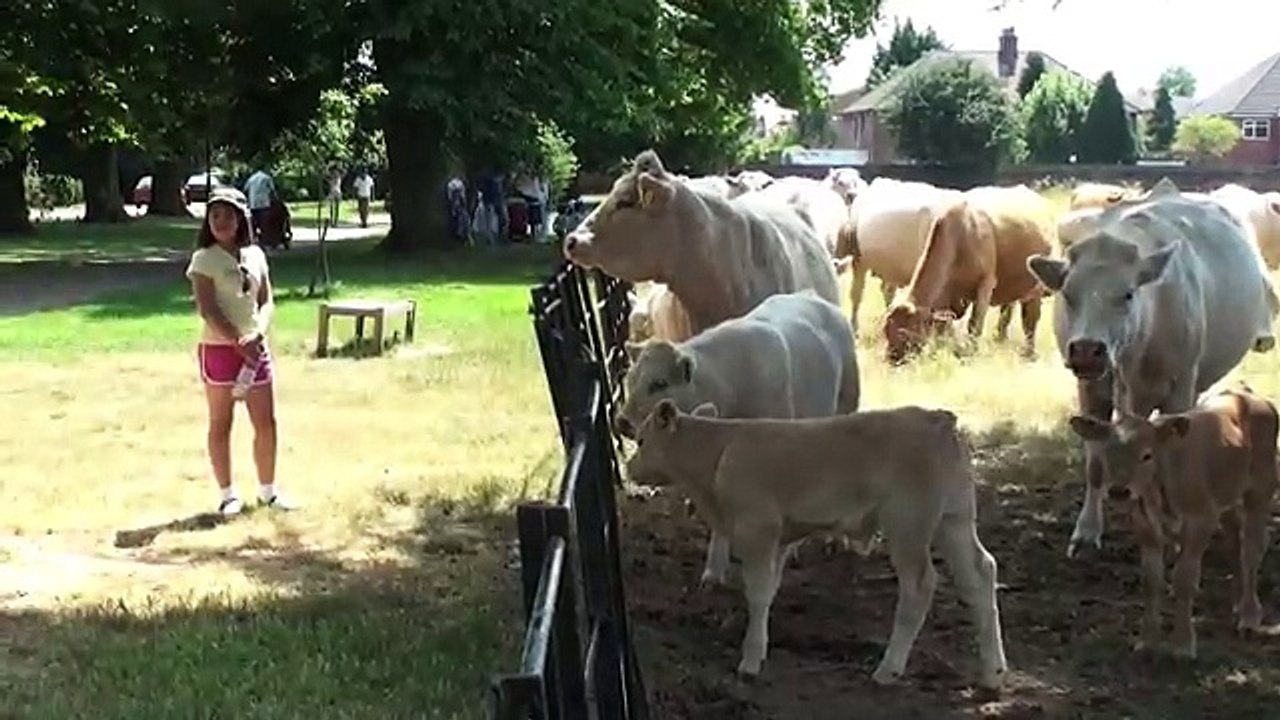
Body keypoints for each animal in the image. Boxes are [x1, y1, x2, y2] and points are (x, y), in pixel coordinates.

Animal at [625, 399, 1008, 688]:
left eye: (642, 440)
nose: (629, 468)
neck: (721, 452)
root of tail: (936, 418)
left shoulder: (757, 530)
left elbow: (758, 593)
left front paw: (750, 659)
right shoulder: (779, 539)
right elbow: (770, 590)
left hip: (907, 525)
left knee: (920, 586)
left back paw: (888, 669)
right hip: (954, 520)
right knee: (980, 574)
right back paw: (993, 670)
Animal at [882, 184, 1056, 364]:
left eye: (905, 333)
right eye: (885, 330)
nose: (892, 359)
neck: (959, 238)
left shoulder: (986, 284)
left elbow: (974, 324)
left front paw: (971, 354)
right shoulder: (945, 296)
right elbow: (942, 328)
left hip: (1035, 287)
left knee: (1030, 320)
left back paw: (1029, 353)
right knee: (1007, 313)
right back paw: (1000, 339)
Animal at [1026, 180, 1277, 558]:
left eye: (1128, 294)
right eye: (1068, 294)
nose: (1086, 350)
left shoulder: (1180, 386)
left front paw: (1173, 526)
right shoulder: (1091, 390)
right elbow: (1095, 463)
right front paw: (1086, 531)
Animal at [1067, 385, 1278, 658]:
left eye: (1146, 455)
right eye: (1106, 453)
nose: (1119, 491)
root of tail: (1248, 395)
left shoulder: (1201, 519)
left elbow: (1184, 579)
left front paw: (1183, 645)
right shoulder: (1144, 524)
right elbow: (1151, 579)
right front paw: (1147, 642)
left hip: (1261, 490)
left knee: (1252, 550)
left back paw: (1249, 616)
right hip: (1227, 498)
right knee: (1235, 545)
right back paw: (1237, 603)